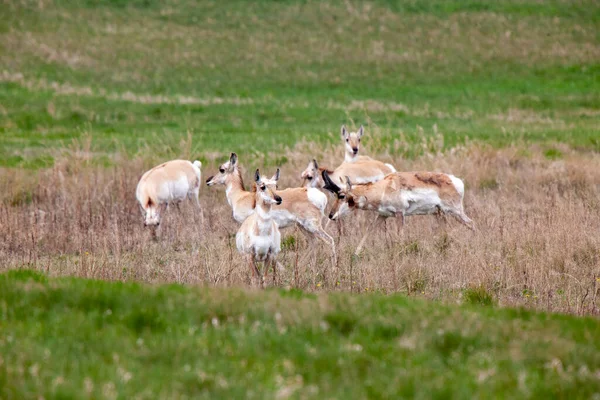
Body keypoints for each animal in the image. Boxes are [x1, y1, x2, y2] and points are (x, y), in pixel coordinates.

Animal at [206, 153, 338, 262]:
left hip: (312, 226)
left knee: (329, 241)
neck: (240, 196)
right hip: (303, 227)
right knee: (313, 243)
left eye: (221, 169)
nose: (208, 180)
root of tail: (318, 196)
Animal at [324, 170, 474, 255]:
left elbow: (400, 236)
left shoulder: (399, 214)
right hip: (440, 214)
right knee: (445, 233)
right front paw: (355, 254)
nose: (331, 215)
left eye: (341, 196)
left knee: (471, 224)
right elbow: (369, 230)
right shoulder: (382, 215)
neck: (384, 187)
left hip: (455, 211)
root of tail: (455, 181)